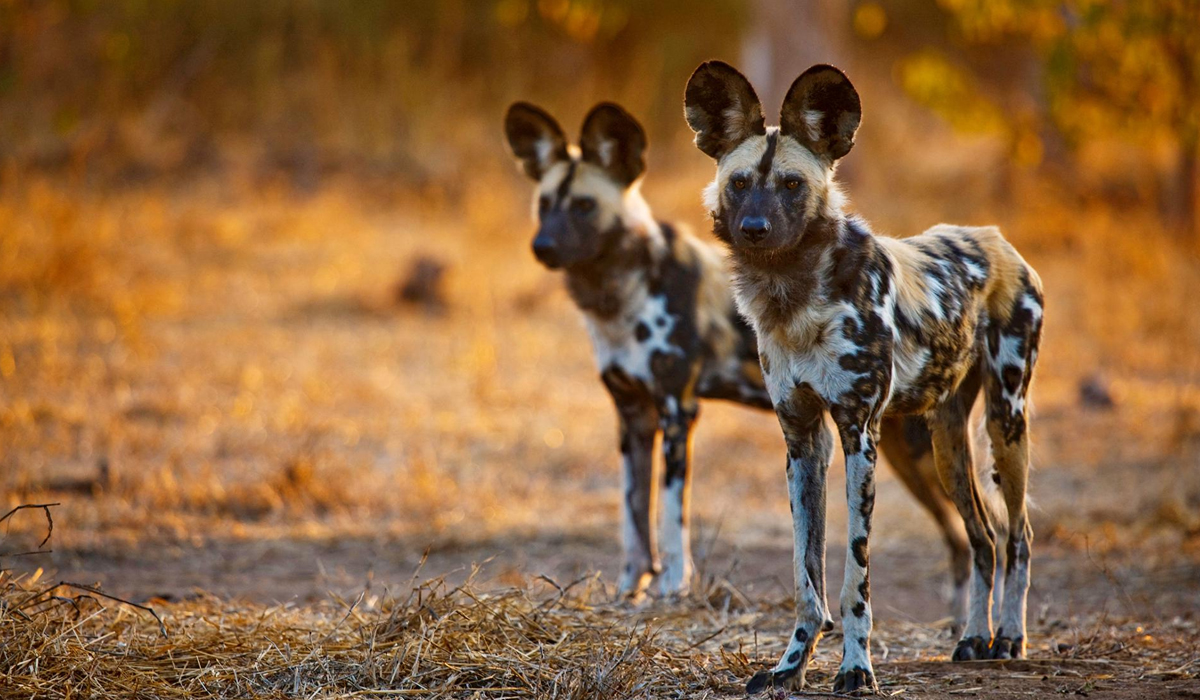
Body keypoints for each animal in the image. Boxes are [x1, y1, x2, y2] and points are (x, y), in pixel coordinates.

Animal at [506, 103, 1003, 614]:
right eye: (544, 206)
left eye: (584, 206)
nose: (542, 247)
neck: (622, 292)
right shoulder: (633, 418)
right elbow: (634, 518)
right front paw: (629, 591)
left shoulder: (677, 412)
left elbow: (671, 520)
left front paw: (672, 590)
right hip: (908, 452)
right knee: (966, 538)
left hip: (918, 450)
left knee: (995, 529)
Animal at [691, 61, 1046, 696]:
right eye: (739, 182)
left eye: (792, 185)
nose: (755, 227)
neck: (794, 296)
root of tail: (996, 237)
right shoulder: (802, 442)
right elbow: (807, 577)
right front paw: (791, 666)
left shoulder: (859, 436)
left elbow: (854, 579)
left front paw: (856, 669)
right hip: (947, 445)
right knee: (982, 538)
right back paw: (973, 639)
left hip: (1007, 423)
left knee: (1018, 535)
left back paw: (1009, 637)